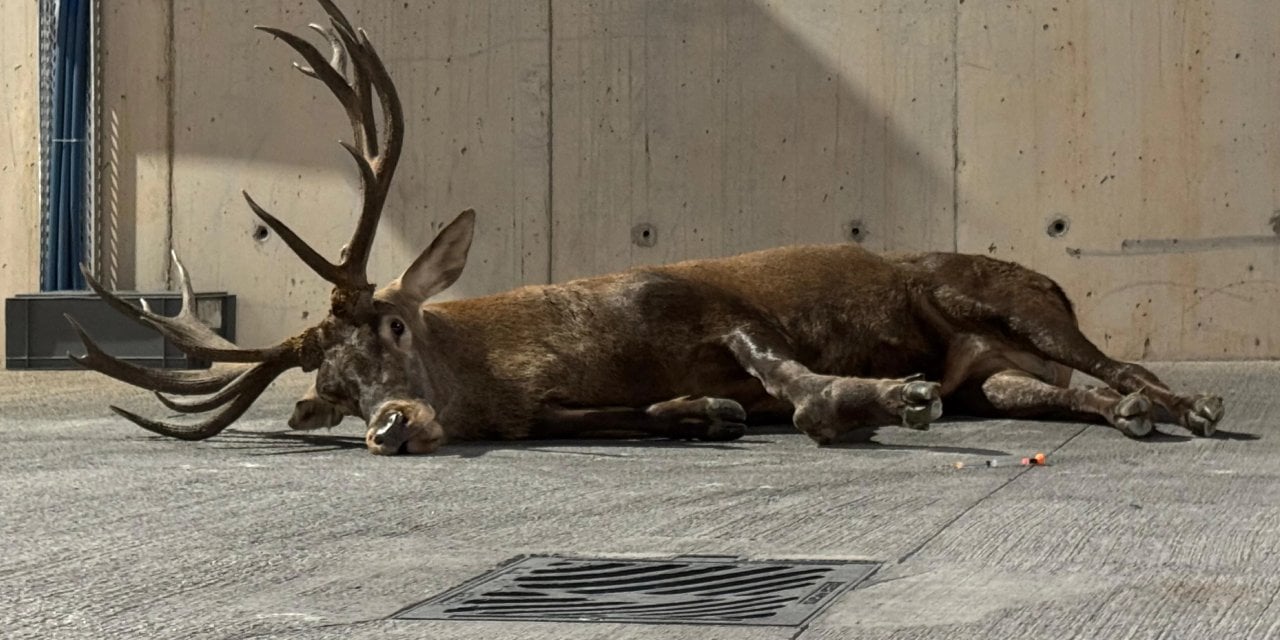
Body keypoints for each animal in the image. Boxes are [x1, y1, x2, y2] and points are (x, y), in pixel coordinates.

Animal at [67, 2, 1218, 458]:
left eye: (393, 326)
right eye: (334, 389)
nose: (388, 424)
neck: (547, 357)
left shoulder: (704, 301)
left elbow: (788, 375)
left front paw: (880, 397)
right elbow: (655, 409)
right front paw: (703, 413)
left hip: (1000, 295)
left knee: (1110, 358)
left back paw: (1189, 405)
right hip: (994, 363)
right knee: (1057, 387)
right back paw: (1131, 417)